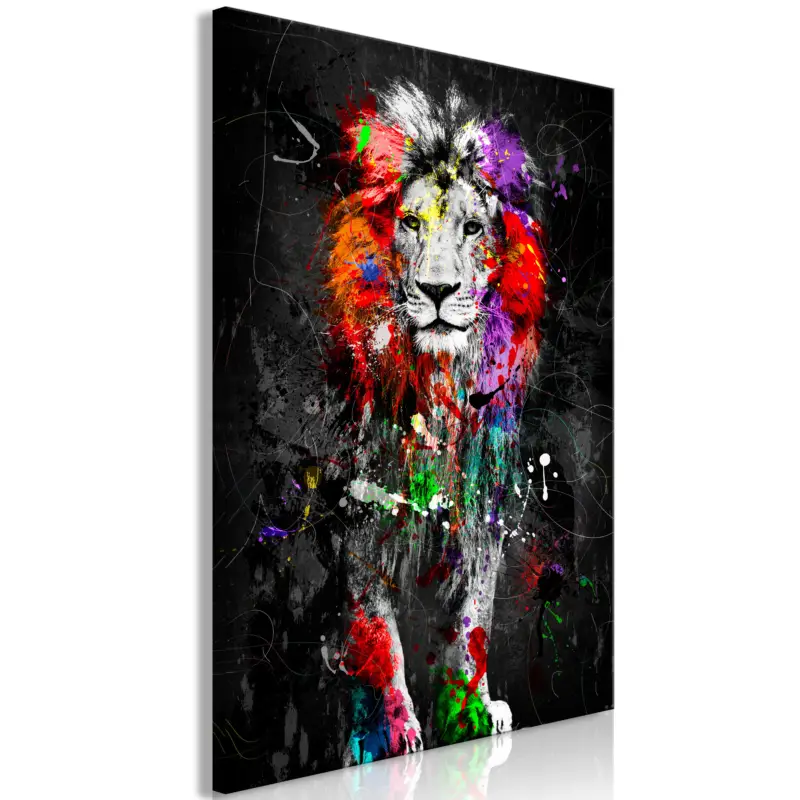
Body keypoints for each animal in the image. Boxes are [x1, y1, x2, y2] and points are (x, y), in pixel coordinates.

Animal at [321, 80, 547, 765]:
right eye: (411, 223)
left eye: (472, 228)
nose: (439, 290)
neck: (441, 383)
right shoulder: (363, 510)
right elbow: (379, 632)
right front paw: (388, 731)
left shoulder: (482, 512)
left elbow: (473, 618)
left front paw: (471, 709)